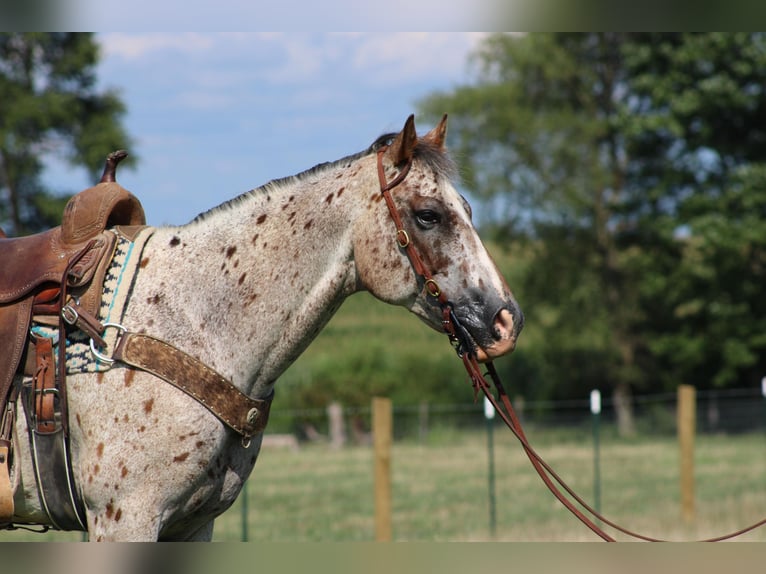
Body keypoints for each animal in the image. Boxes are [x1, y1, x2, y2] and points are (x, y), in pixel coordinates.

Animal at [4, 115, 520, 544]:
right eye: (429, 215)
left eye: (468, 209)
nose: (506, 320)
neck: (187, 321)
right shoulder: (124, 516)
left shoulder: (191, 525)